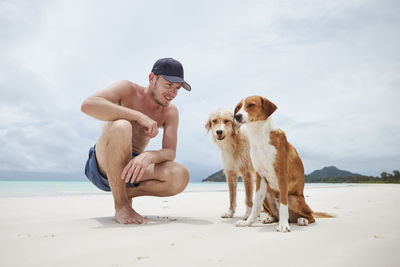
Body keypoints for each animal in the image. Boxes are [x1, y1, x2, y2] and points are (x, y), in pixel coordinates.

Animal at [233, 96, 318, 232]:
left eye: (251, 105)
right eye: (238, 107)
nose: (237, 116)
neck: (259, 137)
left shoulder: (281, 175)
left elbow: (283, 205)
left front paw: (283, 225)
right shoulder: (260, 176)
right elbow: (256, 205)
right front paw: (248, 222)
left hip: (293, 198)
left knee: (311, 216)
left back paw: (301, 220)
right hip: (267, 195)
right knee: (275, 214)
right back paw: (270, 219)